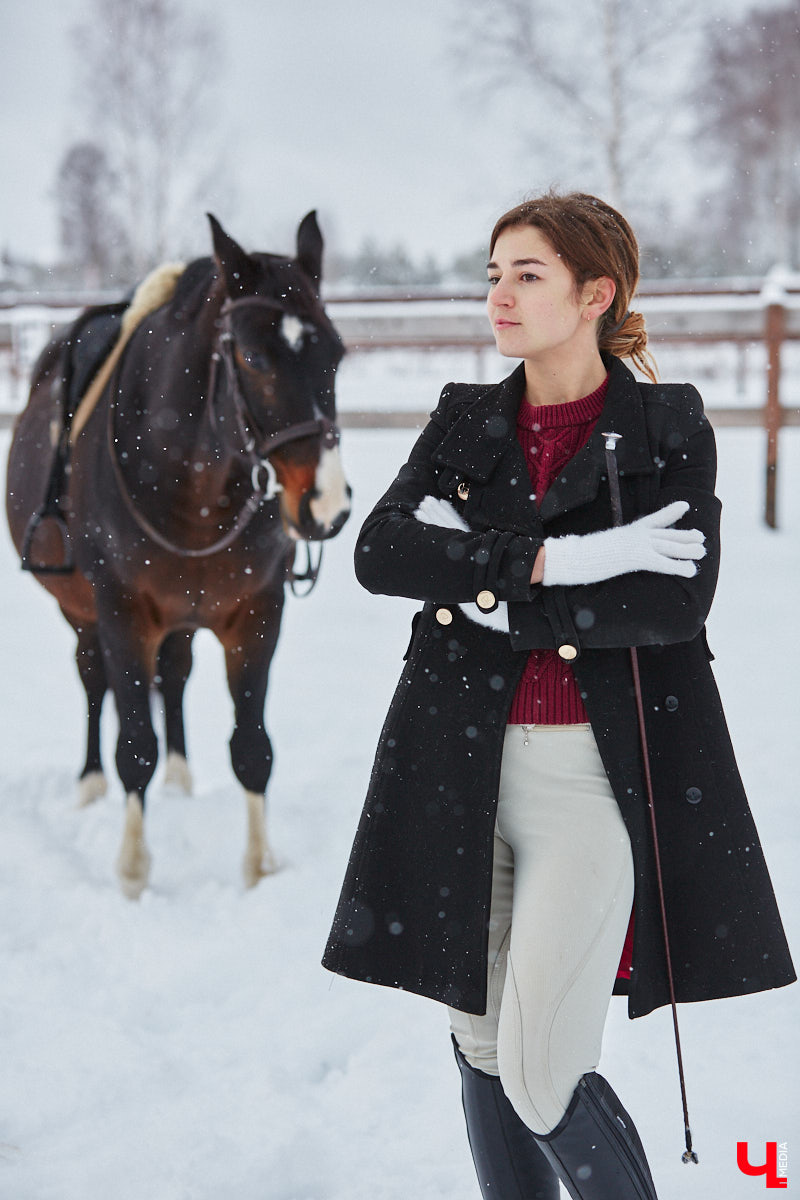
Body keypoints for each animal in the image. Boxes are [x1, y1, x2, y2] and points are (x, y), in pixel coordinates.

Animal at [5, 211, 350, 897]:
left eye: (336, 352)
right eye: (252, 356)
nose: (326, 503)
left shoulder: (257, 613)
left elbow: (252, 748)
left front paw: (258, 869)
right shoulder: (124, 613)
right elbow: (134, 742)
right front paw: (133, 874)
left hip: (184, 617)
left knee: (177, 672)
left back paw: (181, 778)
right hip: (81, 612)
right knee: (93, 680)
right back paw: (90, 784)